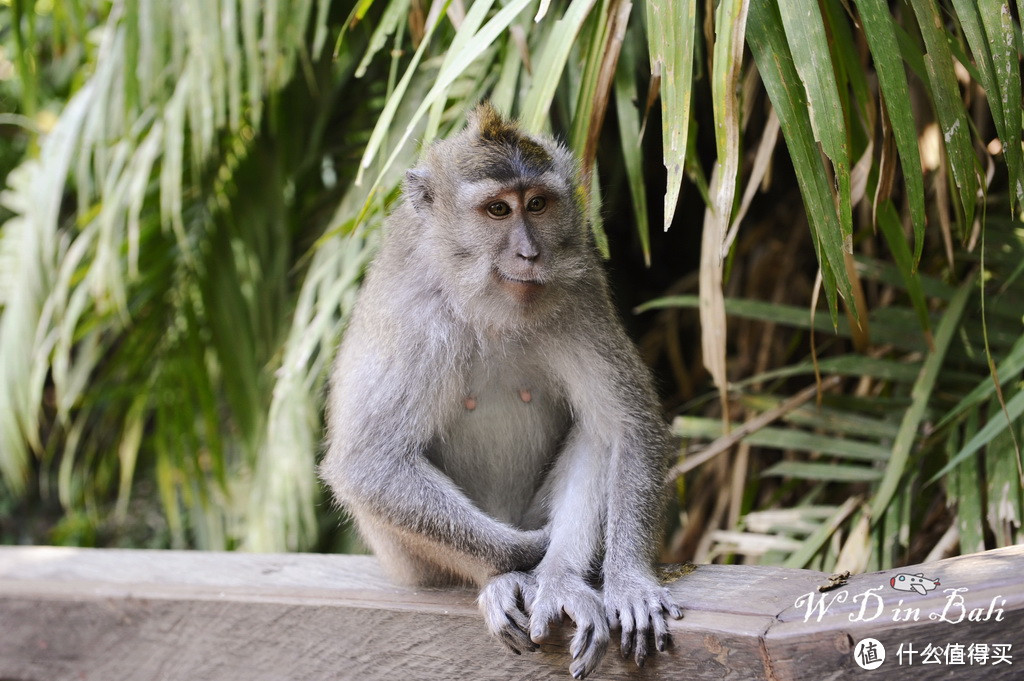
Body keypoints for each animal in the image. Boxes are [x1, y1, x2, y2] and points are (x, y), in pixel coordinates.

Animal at [323, 100, 684, 675]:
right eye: (497, 210)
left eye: (536, 205)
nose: (530, 254)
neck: (489, 306)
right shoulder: (416, 316)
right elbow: (371, 465)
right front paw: (527, 556)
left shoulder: (578, 291)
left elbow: (631, 426)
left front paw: (626, 578)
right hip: (408, 561)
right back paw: (508, 577)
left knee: (599, 430)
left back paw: (561, 579)